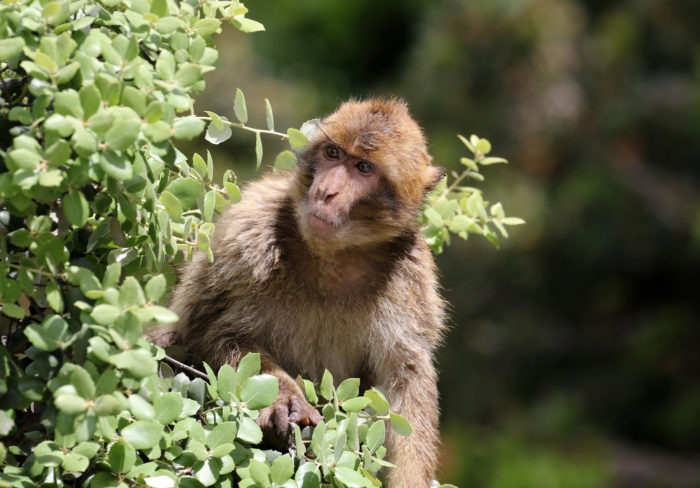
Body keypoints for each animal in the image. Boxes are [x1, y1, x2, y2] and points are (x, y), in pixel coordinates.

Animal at [148, 97, 446, 486]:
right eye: (333, 153)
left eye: (363, 167)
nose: (325, 191)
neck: (332, 256)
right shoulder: (248, 233)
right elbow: (211, 333)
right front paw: (285, 402)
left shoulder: (411, 275)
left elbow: (406, 379)